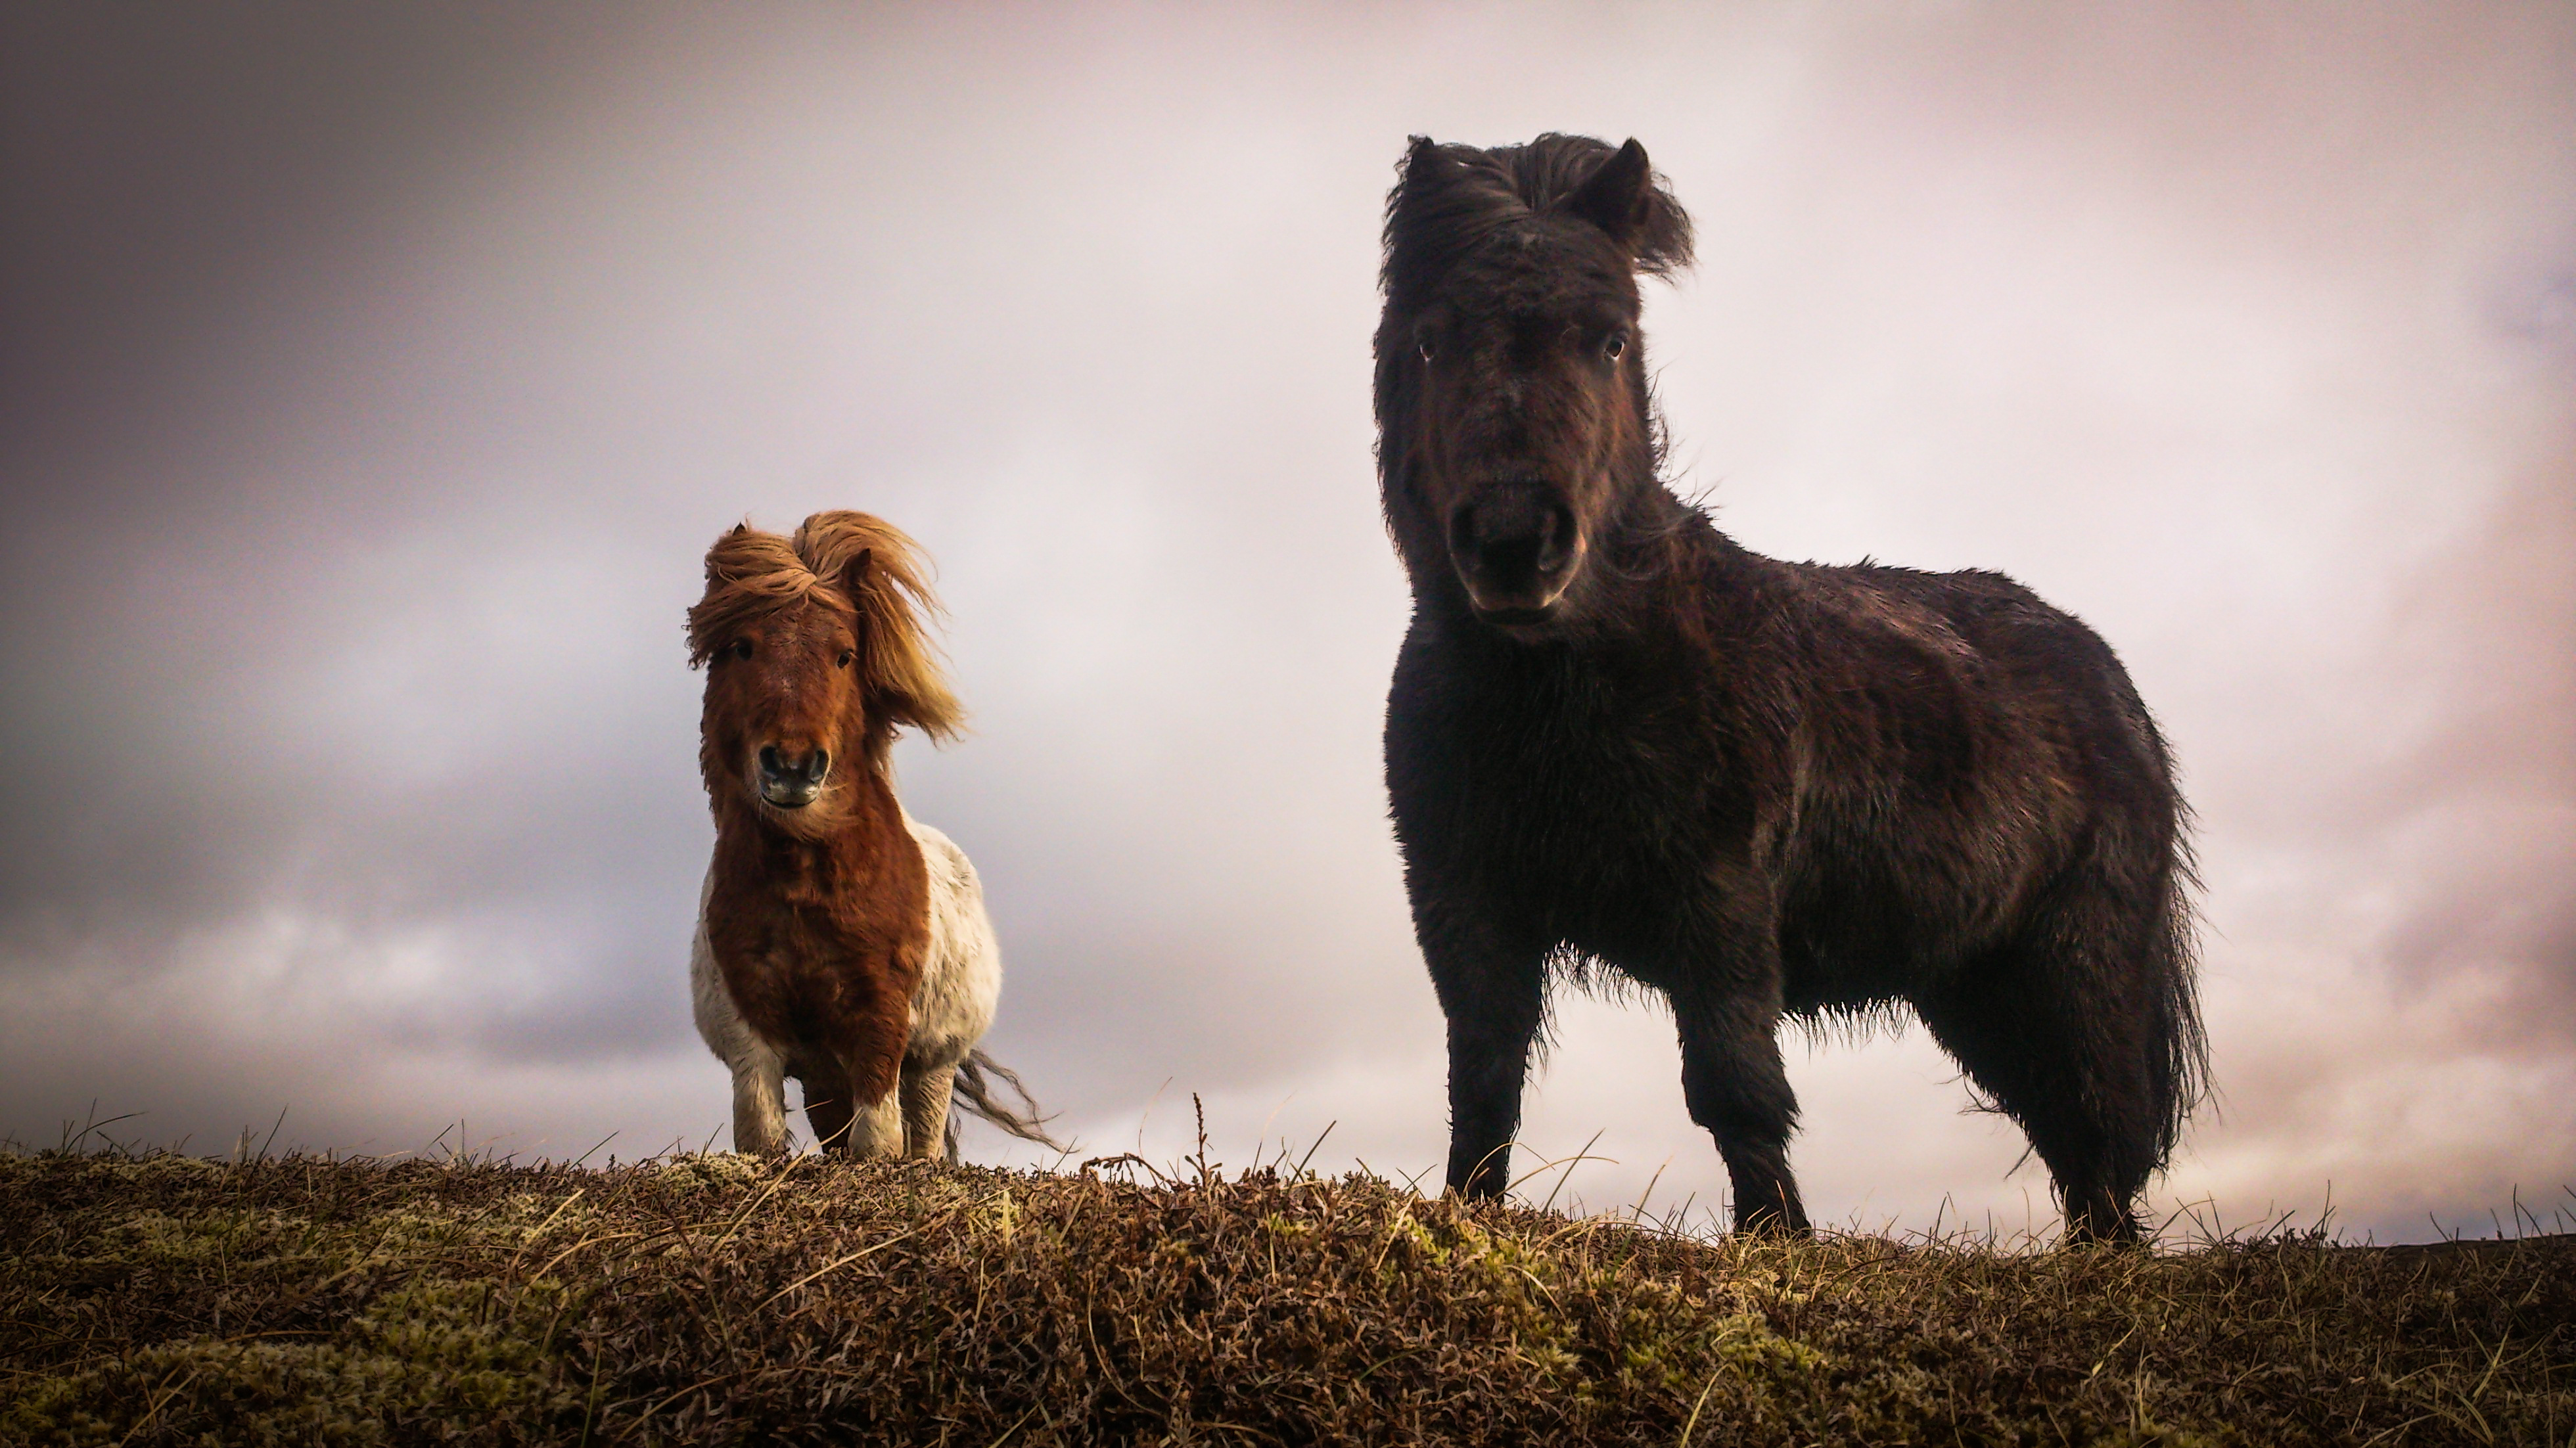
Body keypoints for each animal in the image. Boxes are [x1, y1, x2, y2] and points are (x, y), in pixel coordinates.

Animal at [685, 507, 1056, 1149]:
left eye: (845, 655)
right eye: (742, 647)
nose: (793, 765)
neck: (805, 884)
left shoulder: (880, 1027)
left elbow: (878, 1147)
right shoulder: (751, 1033)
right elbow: (761, 1137)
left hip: (930, 1067)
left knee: (923, 1146)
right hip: (823, 1078)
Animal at [1381, 137, 2205, 1242]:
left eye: (1610, 341)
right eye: (1431, 340)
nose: (1516, 541)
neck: (1568, 689)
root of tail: (2107, 675)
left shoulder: (1722, 902)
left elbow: (1735, 1085)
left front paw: (1777, 1237)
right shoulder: (1464, 903)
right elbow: (1483, 1079)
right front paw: (1466, 1217)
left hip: (2078, 958)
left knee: (2096, 1121)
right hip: (1972, 984)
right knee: (2071, 1142)